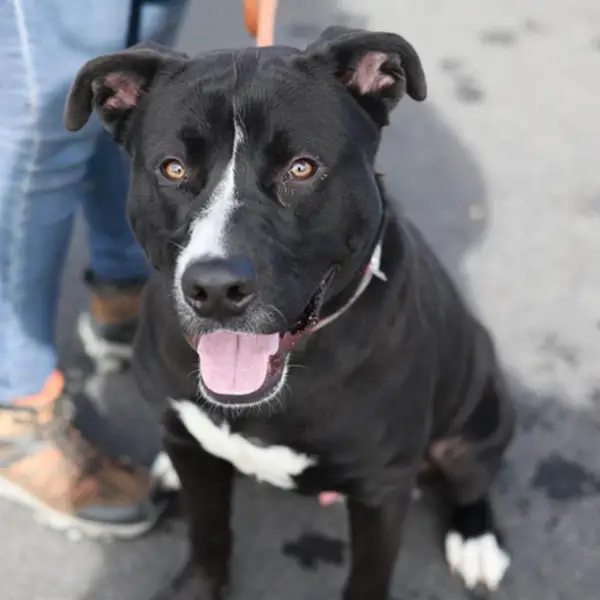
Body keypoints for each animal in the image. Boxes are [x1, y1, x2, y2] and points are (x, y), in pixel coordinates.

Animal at [64, 25, 516, 596]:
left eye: (301, 168)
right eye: (173, 168)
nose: (215, 288)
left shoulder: (381, 490)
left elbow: (368, 578)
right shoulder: (193, 452)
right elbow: (207, 532)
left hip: (478, 418)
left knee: (474, 478)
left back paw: (476, 539)